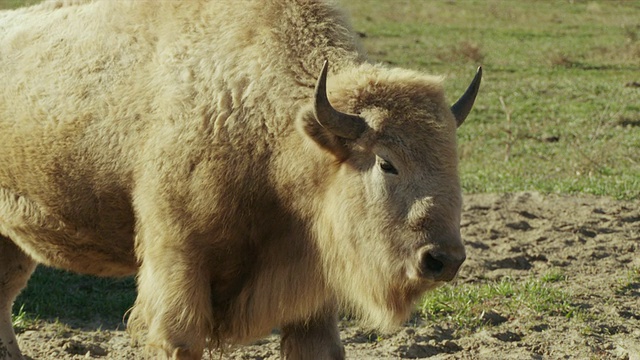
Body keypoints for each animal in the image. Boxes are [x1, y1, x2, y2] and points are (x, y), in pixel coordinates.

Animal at [0, 0, 480, 358]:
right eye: (386, 163)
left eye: (453, 158)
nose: (443, 259)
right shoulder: (178, 263)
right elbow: (178, 341)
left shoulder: (311, 285)